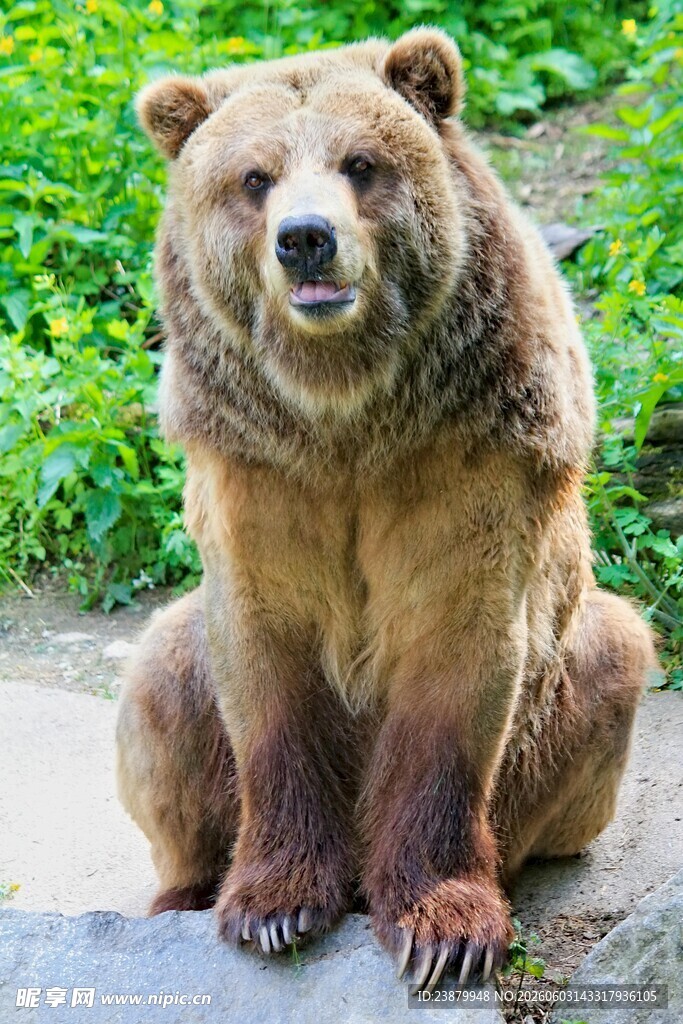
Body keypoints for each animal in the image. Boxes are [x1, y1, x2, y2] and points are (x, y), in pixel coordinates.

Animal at [116, 28, 658, 992]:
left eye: (360, 163)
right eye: (253, 177)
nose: (306, 239)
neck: (347, 410)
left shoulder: (469, 452)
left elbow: (458, 655)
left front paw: (443, 929)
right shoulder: (257, 467)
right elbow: (262, 655)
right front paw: (273, 907)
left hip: (569, 704)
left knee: (615, 650)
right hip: (177, 675)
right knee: (159, 681)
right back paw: (181, 893)